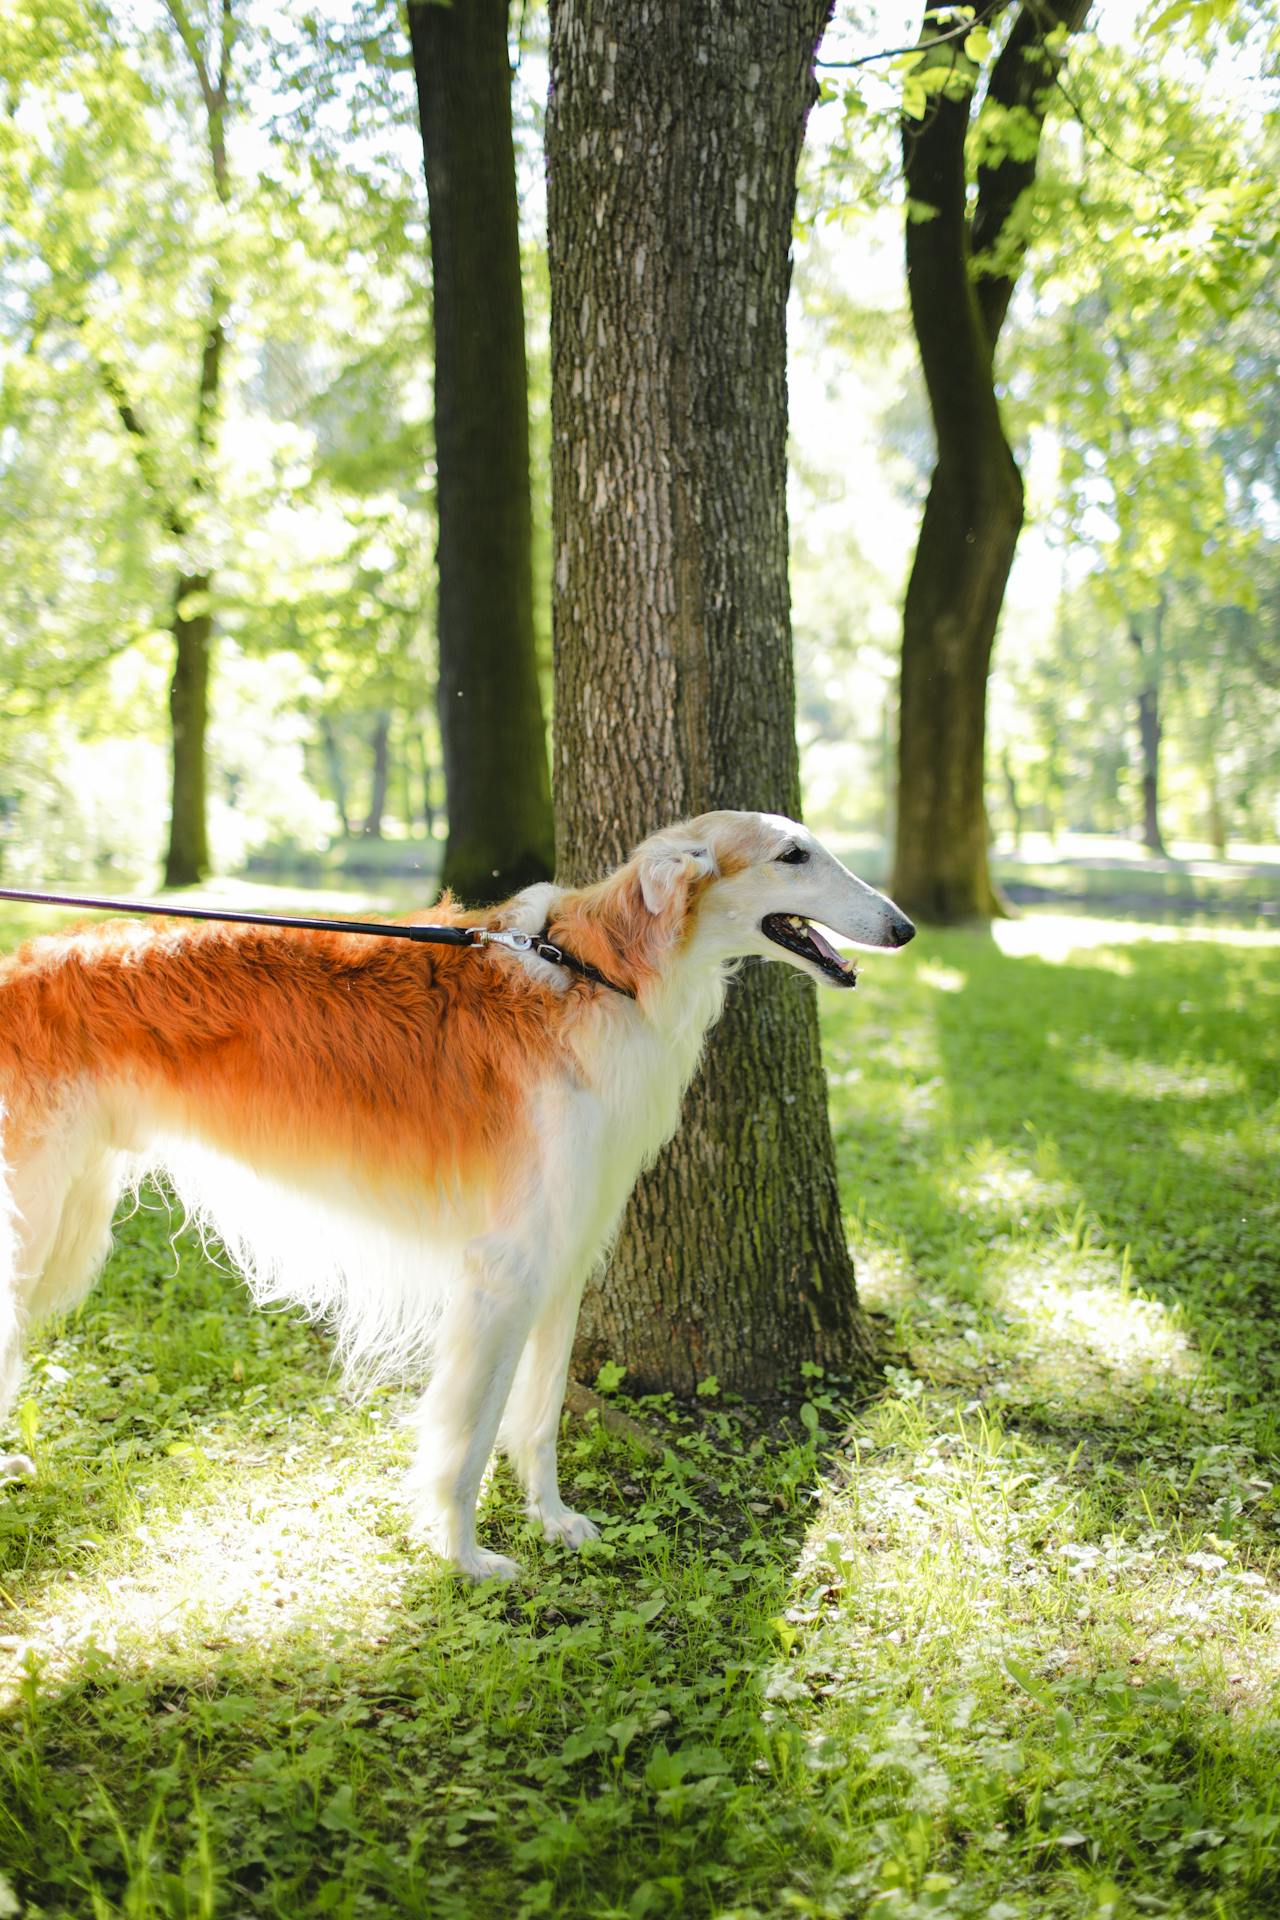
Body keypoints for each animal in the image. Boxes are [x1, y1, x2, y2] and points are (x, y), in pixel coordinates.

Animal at [2, 806, 921, 1574]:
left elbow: (539, 1417)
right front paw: (464, 1556)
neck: (598, 972)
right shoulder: (506, 1270)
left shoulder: (566, 1255)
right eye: (794, 855)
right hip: (33, 1223)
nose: (904, 926)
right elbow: (471, 1437)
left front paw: (555, 1520)